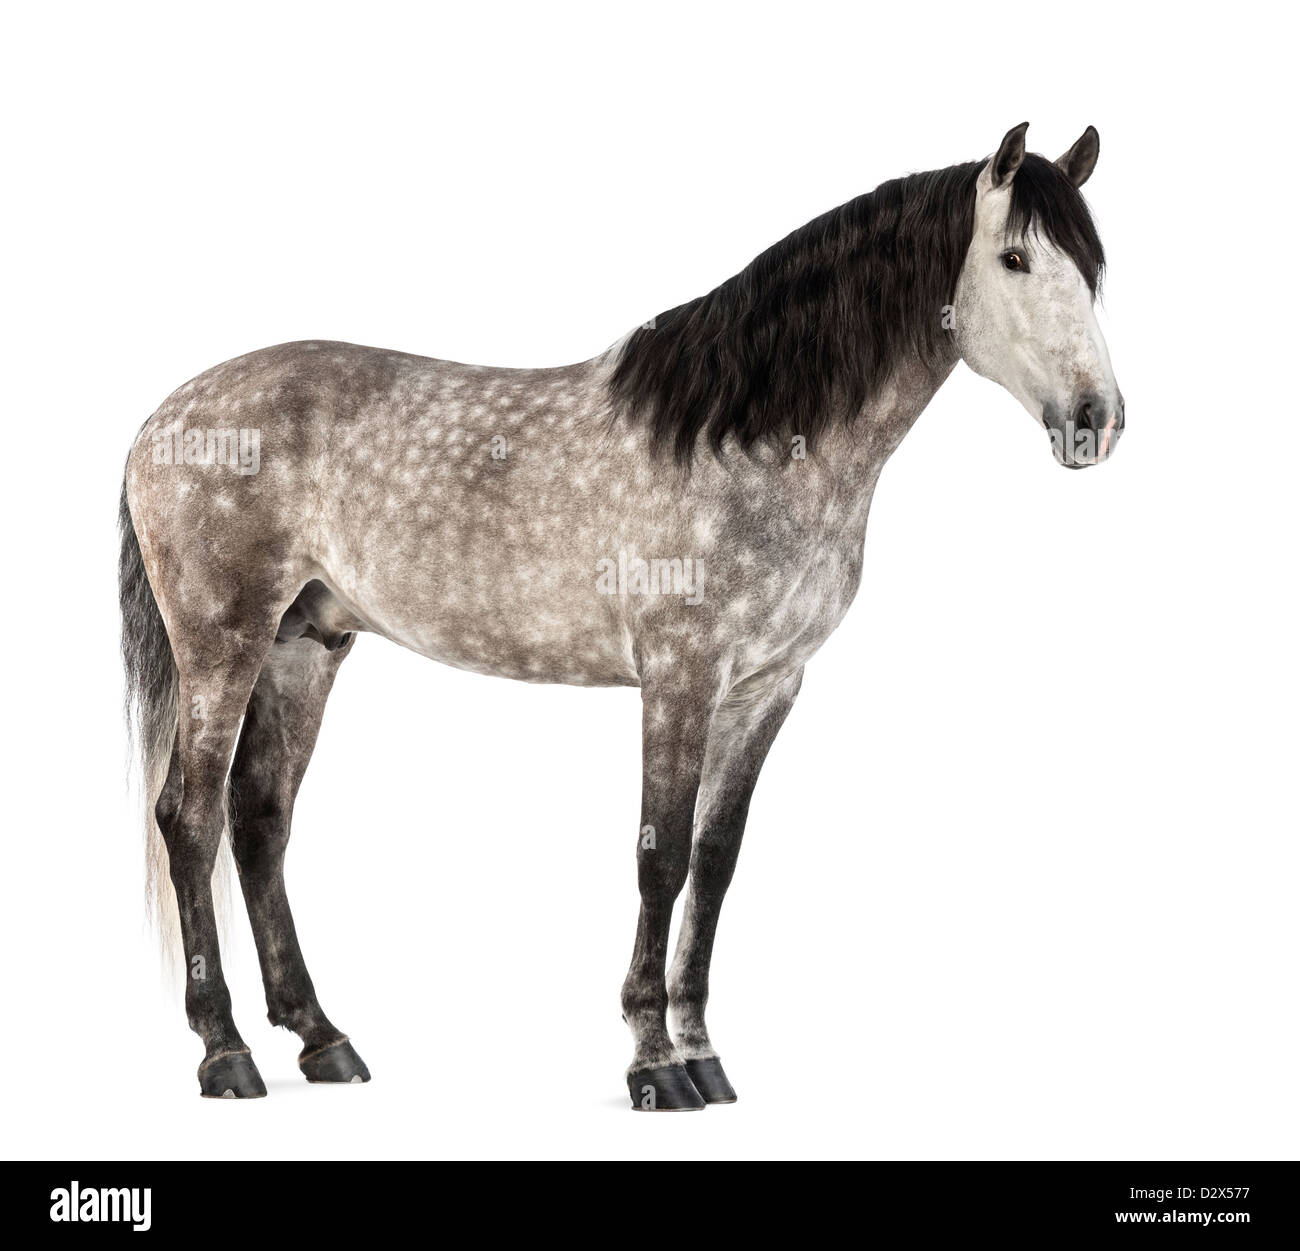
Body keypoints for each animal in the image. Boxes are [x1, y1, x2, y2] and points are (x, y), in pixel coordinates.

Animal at [119, 122, 1122, 1108]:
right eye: (1016, 257)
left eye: (1093, 268)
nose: (1096, 419)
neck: (745, 438)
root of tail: (162, 418)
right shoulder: (680, 675)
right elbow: (661, 856)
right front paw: (653, 1062)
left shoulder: (767, 686)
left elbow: (715, 861)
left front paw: (704, 1053)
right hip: (222, 644)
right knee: (190, 818)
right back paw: (225, 1052)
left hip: (306, 646)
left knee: (260, 820)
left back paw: (322, 1039)